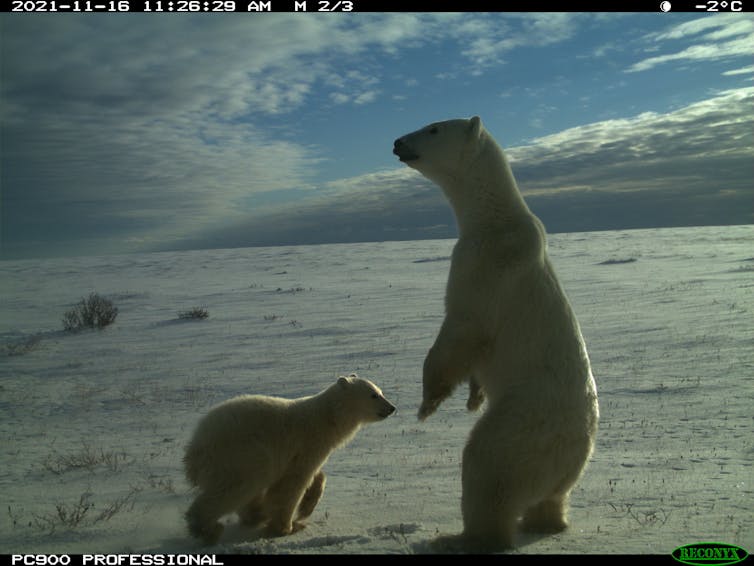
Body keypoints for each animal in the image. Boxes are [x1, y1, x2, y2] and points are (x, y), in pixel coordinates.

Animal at [183, 374, 396, 545]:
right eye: (374, 395)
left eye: (380, 391)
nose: (392, 408)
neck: (326, 418)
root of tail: (195, 448)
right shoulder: (307, 442)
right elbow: (291, 484)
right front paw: (287, 528)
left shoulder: (307, 450)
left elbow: (315, 475)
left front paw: (306, 507)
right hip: (240, 454)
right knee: (236, 486)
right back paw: (207, 529)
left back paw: (255, 514)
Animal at [393, 116, 599, 551]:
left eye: (433, 128)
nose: (397, 142)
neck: (494, 217)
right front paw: (473, 397)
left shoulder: (482, 263)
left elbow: (463, 327)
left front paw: (427, 403)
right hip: (561, 460)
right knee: (551, 497)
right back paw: (546, 523)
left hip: (523, 425)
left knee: (486, 469)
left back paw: (462, 537)